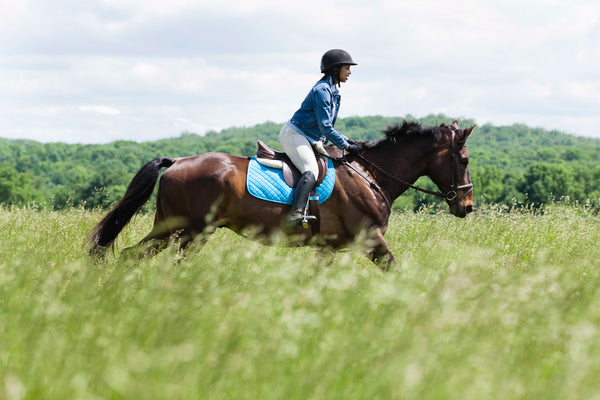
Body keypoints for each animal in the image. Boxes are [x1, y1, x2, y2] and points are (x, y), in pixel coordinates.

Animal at [88, 120, 474, 268]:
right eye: (465, 159)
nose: (467, 206)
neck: (370, 175)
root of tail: (177, 161)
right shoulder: (372, 239)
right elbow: (395, 270)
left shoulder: (327, 248)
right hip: (185, 230)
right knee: (132, 255)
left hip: (179, 230)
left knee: (134, 255)